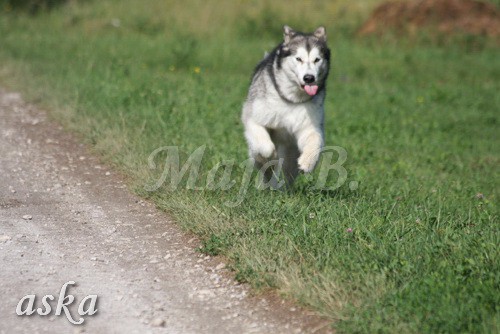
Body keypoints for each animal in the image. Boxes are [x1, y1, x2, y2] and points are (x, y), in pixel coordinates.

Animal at [241, 25, 330, 188]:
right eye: (298, 59)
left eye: (317, 59)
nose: (309, 78)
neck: (292, 99)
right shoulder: (254, 118)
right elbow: (266, 148)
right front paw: (270, 156)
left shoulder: (309, 125)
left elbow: (315, 140)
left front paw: (308, 162)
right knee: (264, 163)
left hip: (290, 153)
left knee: (288, 172)